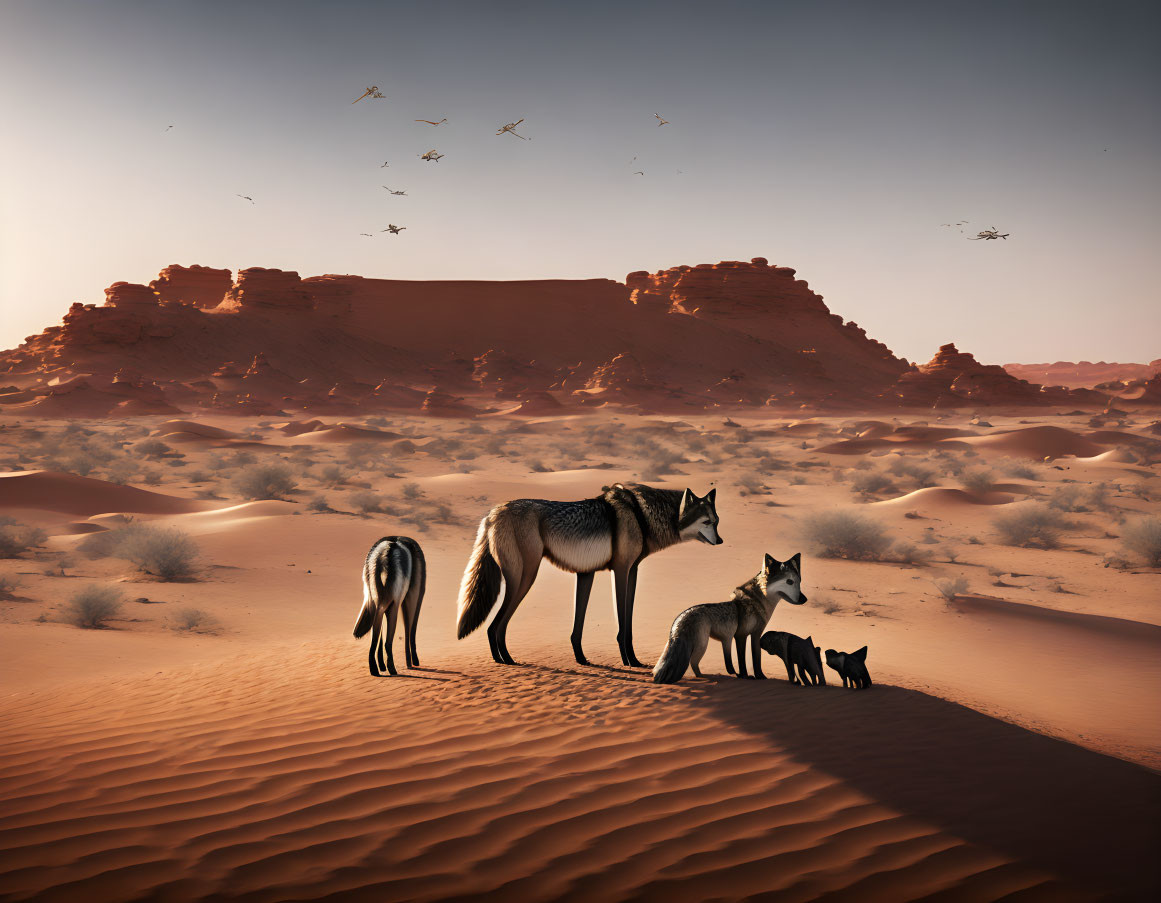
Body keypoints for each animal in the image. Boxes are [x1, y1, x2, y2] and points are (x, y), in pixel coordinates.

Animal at [355, 531, 429, 673]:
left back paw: (375, 668)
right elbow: (410, 630)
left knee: (376, 633)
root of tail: (385, 551)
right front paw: (411, 662)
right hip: (395, 601)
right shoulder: (413, 597)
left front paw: (382, 665)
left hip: (378, 598)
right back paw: (392, 668)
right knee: (389, 640)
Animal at [455, 482, 719, 663]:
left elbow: (591, 627)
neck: (641, 516)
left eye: (716, 521)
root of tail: (492, 513)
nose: (721, 540)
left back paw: (504, 659)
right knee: (495, 625)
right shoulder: (620, 571)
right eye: (707, 522)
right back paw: (506, 660)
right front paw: (628, 662)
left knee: (496, 625)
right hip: (524, 578)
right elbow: (622, 624)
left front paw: (587, 659)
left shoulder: (608, 572)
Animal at [654, 547, 808, 682]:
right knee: (693, 662)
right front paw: (746, 676)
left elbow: (756, 657)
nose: (804, 599)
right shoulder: (740, 635)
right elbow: (743, 660)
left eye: (799, 582)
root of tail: (681, 617)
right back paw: (706, 676)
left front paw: (759, 676)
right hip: (702, 645)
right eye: (789, 582)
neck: (758, 603)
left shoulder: (754, 634)